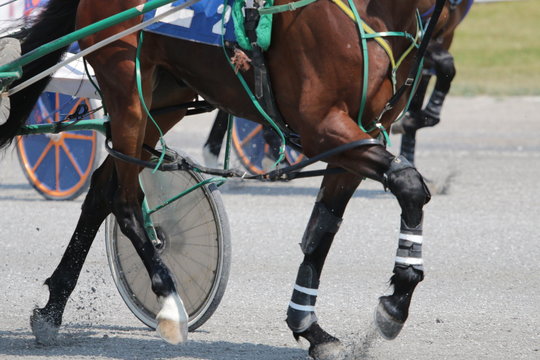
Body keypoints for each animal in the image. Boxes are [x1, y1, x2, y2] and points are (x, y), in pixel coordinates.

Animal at [0, 0, 434, 358]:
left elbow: (323, 229)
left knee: (102, 190)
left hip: (165, 95)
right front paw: (395, 303)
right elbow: (410, 184)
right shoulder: (324, 128)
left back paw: (52, 311)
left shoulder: (359, 134)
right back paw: (169, 302)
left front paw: (312, 328)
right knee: (123, 201)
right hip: (127, 87)